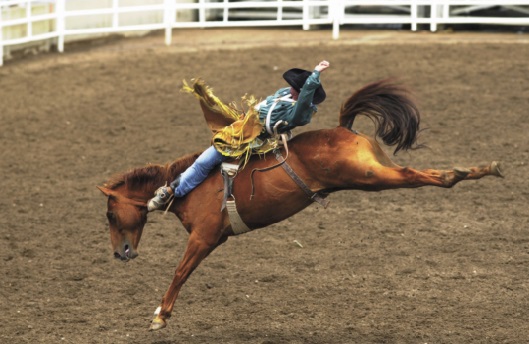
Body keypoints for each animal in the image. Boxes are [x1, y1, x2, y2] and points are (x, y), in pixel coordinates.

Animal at [98, 80, 500, 330]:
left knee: (417, 174)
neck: (187, 187)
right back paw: (477, 169)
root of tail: (343, 128)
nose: (119, 253)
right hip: (372, 171)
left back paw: (463, 172)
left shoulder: (204, 237)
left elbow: (180, 273)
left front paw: (160, 316)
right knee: (413, 172)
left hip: (370, 175)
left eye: (110, 214)